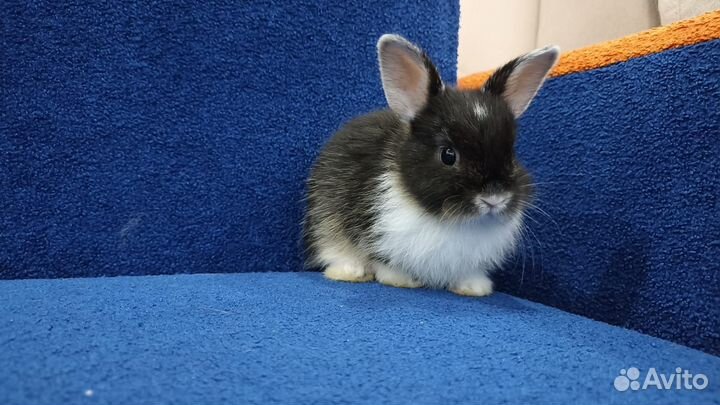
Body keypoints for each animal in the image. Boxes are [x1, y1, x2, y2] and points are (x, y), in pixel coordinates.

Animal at [303, 34, 559, 296]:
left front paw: (475, 288)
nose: (495, 198)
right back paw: (350, 272)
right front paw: (401, 280)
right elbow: (386, 262)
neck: (454, 221)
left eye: (511, 153)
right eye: (448, 155)